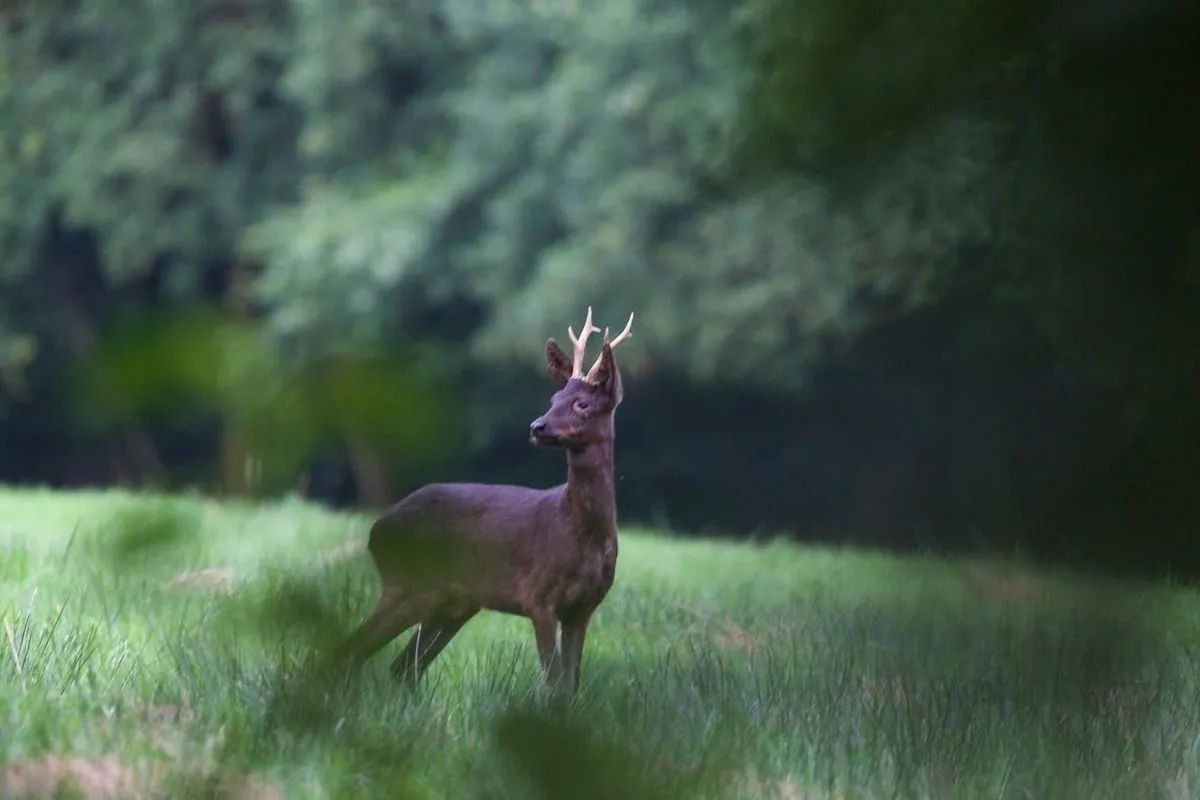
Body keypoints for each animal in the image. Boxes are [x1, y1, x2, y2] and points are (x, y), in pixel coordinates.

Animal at [328, 304, 638, 695]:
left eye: (582, 403)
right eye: (553, 400)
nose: (537, 427)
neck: (580, 529)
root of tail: (376, 530)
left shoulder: (583, 608)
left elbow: (570, 687)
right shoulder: (537, 596)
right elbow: (554, 685)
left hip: (453, 603)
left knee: (403, 667)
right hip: (408, 584)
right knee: (348, 652)